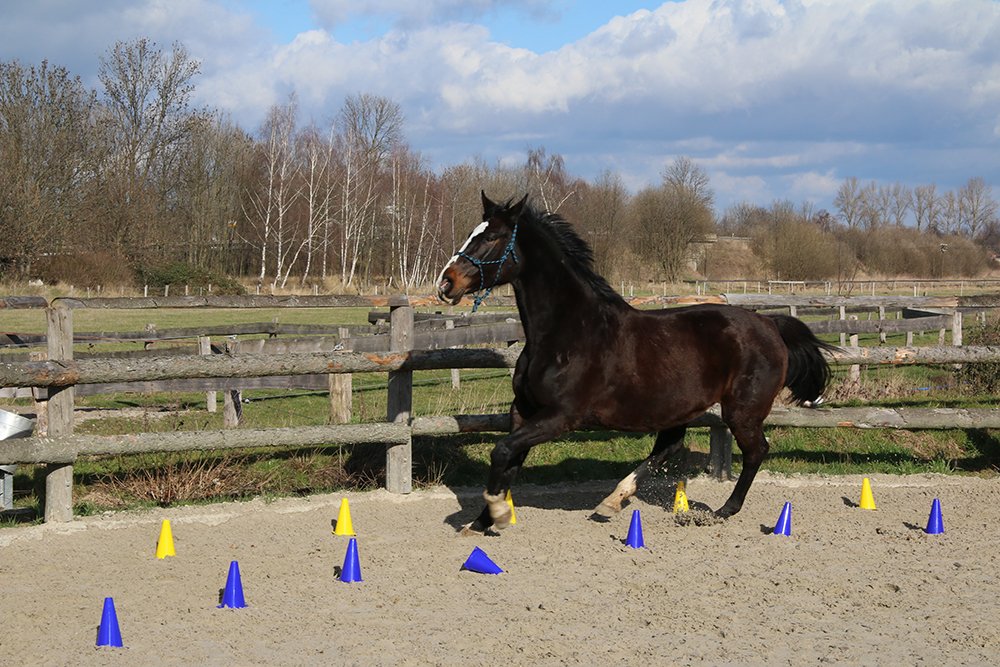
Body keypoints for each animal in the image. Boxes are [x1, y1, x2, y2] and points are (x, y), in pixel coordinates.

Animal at [437, 192, 836, 534]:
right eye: (473, 234)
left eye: (492, 237)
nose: (445, 283)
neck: (568, 332)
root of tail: (770, 323)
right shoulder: (524, 411)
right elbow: (509, 461)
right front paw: (481, 521)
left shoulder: (561, 416)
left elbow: (502, 451)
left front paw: (498, 514)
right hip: (679, 406)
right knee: (669, 446)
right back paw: (613, 501)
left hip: (742, 410)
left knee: (755, 451)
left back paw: (723, 510)